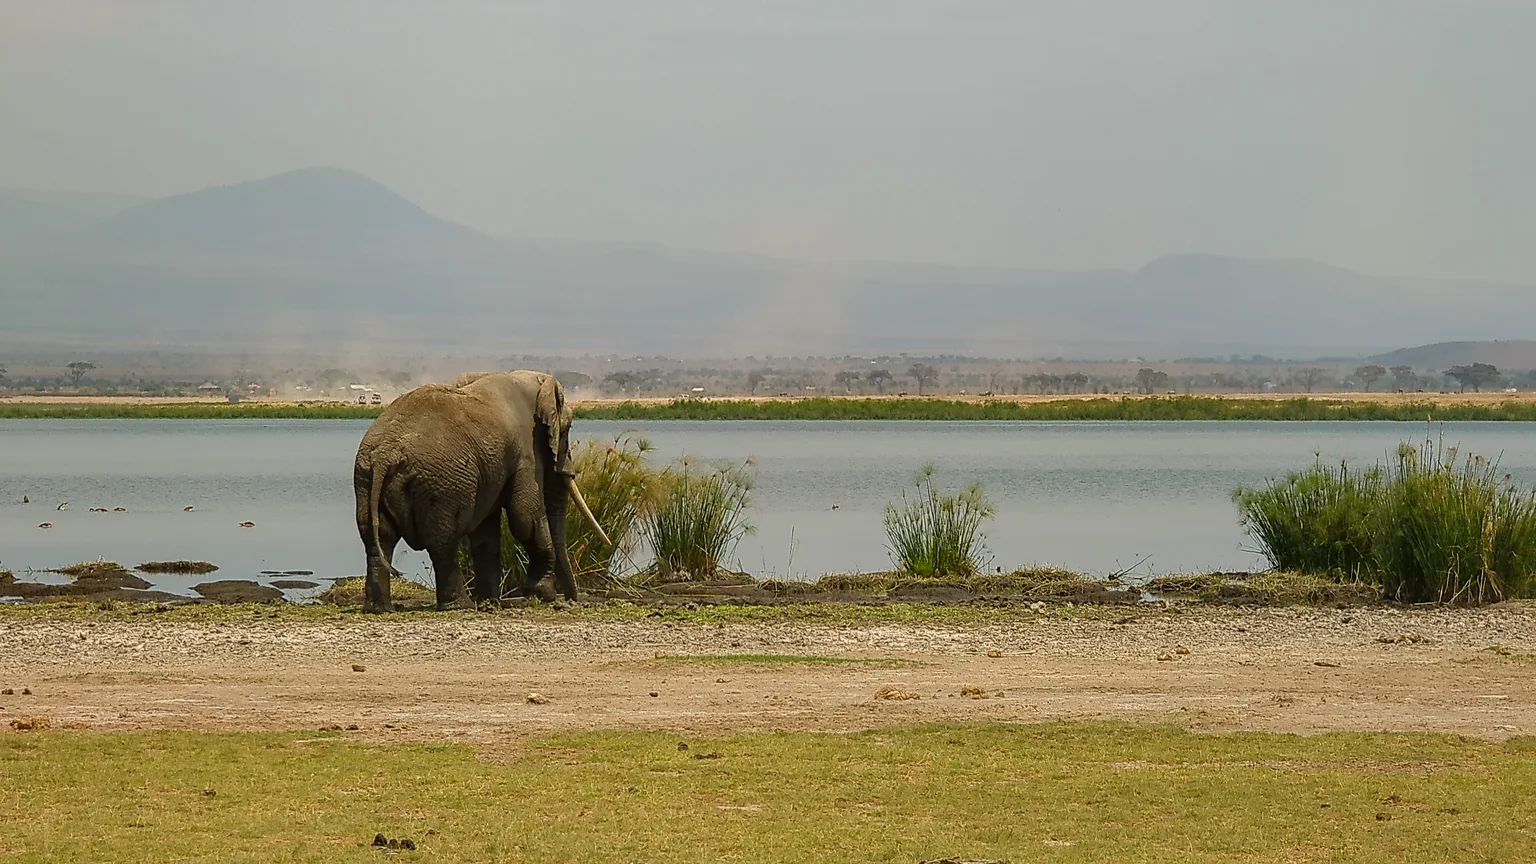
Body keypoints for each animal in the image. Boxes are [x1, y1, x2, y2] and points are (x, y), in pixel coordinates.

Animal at [352, 370, 610, 613]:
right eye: (568, 428)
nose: (569, 599)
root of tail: (386, 453)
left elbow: (486, 533)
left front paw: (490, 601)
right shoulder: (526, 452)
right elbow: (525, 518)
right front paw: (542, 594)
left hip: (365, 477)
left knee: (378, 540)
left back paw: (378, 609)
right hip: (442, 484)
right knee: (443, 542)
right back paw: (460, 605)